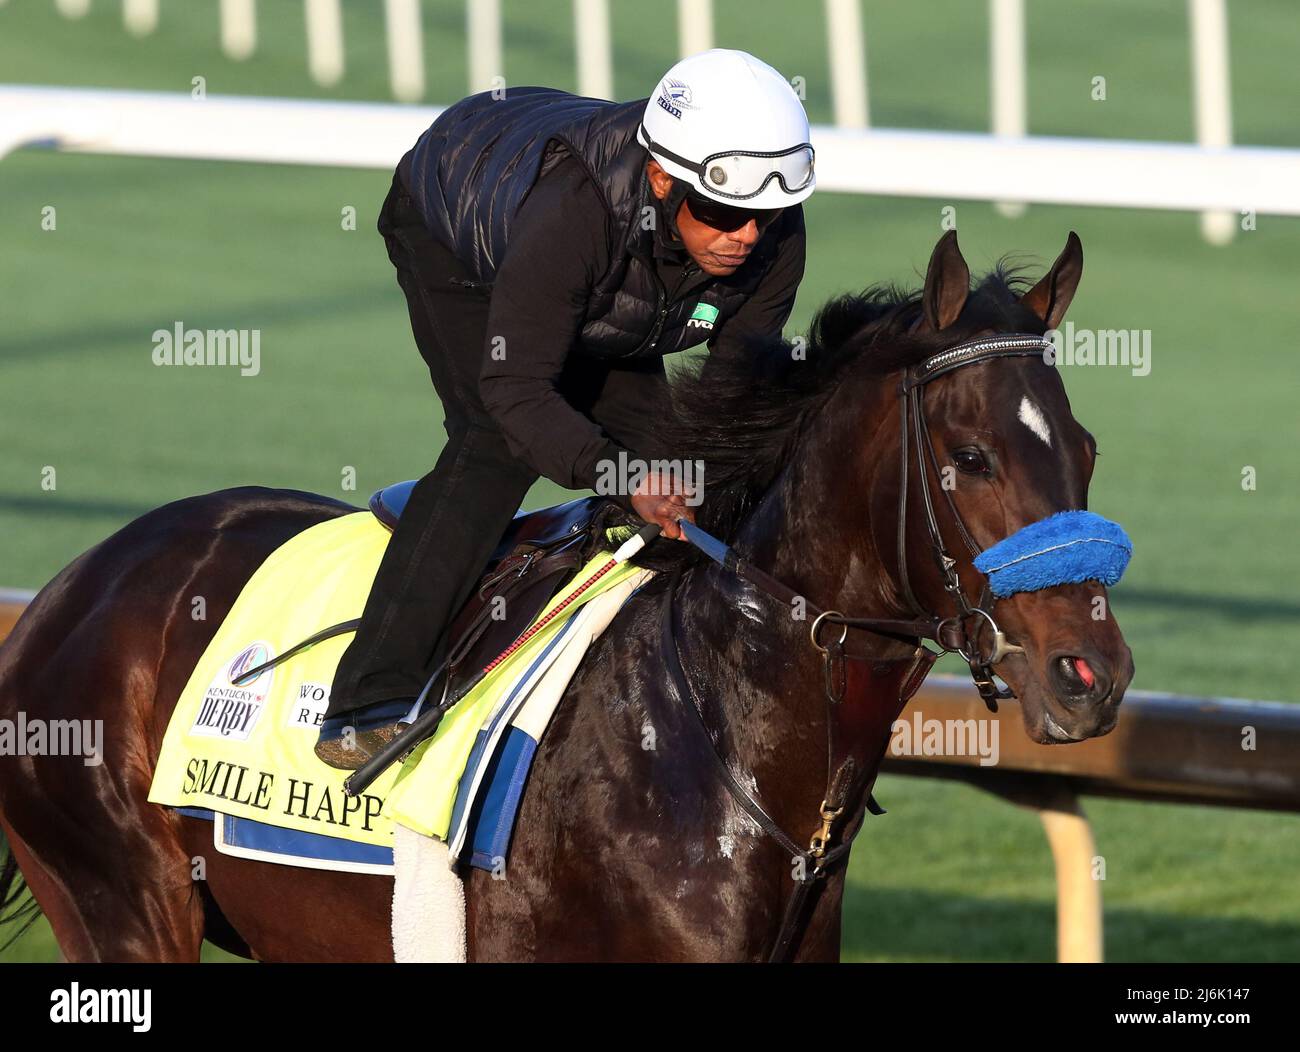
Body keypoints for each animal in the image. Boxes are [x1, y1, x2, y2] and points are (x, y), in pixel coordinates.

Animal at [0, 231, 1128, 962]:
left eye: (1085, 448)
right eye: (972, 457)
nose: (1093, 675)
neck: (715, 732)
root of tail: (64, 593)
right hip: (121, 903)